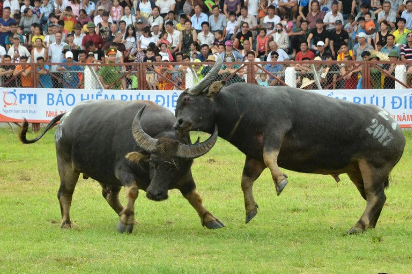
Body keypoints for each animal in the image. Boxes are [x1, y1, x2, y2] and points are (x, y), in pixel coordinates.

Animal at [20, 100, 224, 233]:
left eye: (175, 166)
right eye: (152, 162)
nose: (154, 194)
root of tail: (65, 117)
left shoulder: (185, 177)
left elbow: (194, 197)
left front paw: (211, 219)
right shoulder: (123, 171)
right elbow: (132, 191)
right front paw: (125, 224)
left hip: (107, 177)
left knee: (110, 196)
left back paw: (128, 215)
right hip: (67, 166)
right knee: (65, 193)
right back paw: (67, 223)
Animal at [174, 55, 406, 233]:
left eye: (188, 100)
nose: (178, 123)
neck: (243, 107)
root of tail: (396, 130)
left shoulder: (276, 131)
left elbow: (270, 158)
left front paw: (281, 181)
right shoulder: (254, 155)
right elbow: (246, 180)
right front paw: (250, 210)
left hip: (374, 167)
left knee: (375, 196)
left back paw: (358, 226)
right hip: (356, 170)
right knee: (376, 197)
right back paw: (370, 225)